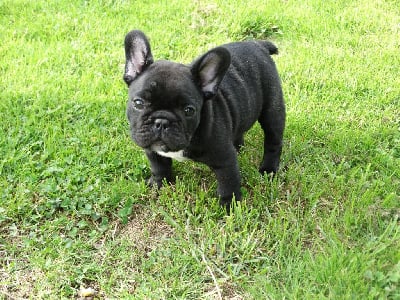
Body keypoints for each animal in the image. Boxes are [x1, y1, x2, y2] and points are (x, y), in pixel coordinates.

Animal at [124, 29, 284, 209]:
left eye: (189, 110)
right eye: (138, 103)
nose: (161, 122)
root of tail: (258, 45)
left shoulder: (225, 160)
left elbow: (228, 182)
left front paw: (229, 206)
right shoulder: (151, 149)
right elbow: (158, 166)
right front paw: (158, 183)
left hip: (273, 111)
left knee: (273, 141)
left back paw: (268, 169)